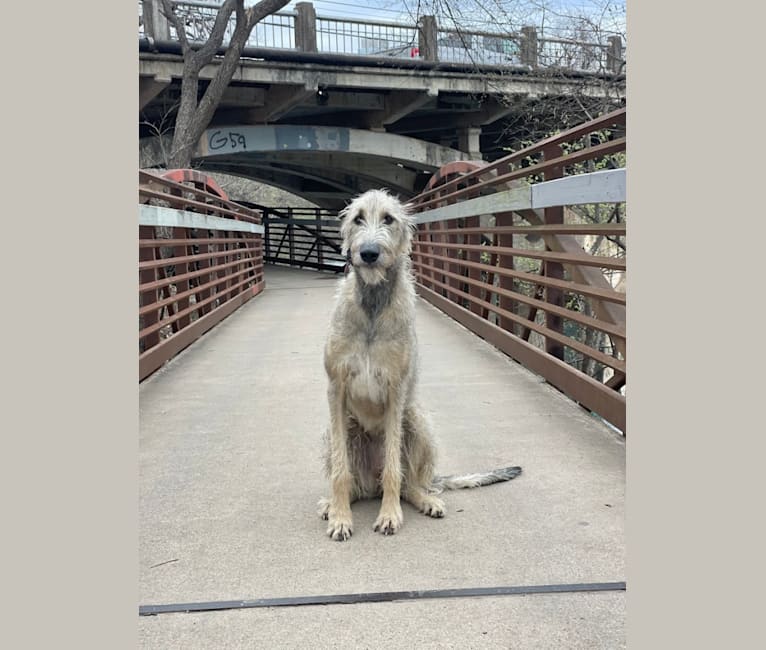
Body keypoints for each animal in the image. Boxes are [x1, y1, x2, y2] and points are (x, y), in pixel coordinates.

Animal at [318, 190, 520, 540]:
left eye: (388, 219)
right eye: (358, 218)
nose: (368, 253)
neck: (373, 306)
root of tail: (370, 484)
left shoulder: (396, 393)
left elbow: (394, 469)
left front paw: (389, 515)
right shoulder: (337, 389)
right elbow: (341, 471)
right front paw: (341, 517)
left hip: (416, 419)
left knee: (407, 480)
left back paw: (424, 498)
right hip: (337, 432)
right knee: (353, 480)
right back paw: (334, 503)